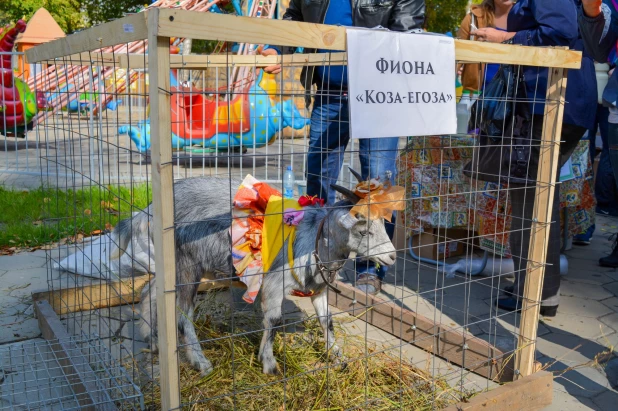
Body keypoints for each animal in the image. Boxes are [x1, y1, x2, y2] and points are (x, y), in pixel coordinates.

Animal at [113, 175, 394, 374]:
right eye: (363, 229)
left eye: (383, 223)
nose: (392, 256)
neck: (315, 239)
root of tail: (147, 210)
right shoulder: (273, 285)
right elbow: (274, 322)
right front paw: (269, 364)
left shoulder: (319, 289)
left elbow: (328, 322)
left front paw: (338, 357)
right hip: (187, 266)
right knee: (182, 316)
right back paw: (200, 362)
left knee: (149, 292)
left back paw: (152, 339)